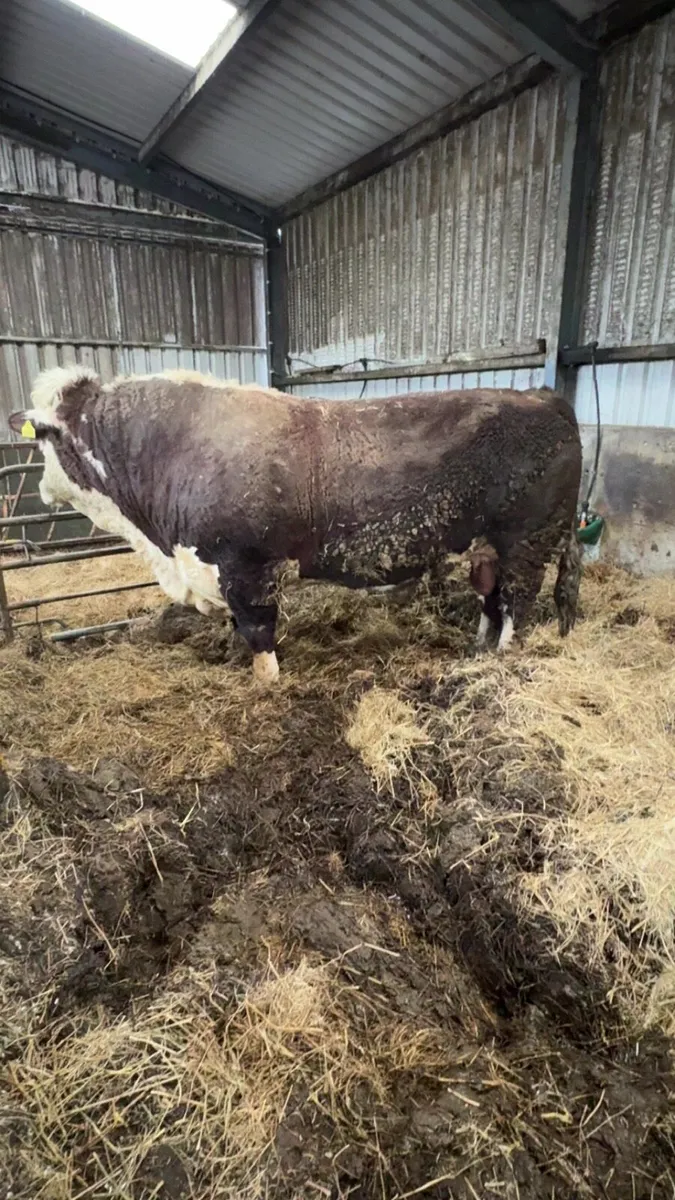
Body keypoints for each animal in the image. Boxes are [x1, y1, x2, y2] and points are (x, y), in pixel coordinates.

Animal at [9, 366, 582, 683]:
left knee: (517, 604)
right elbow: (236, 630)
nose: (41, 490)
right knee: (492, 600)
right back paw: (477, 652)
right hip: (490, 547)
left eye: (45, 440)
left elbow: (259, 632)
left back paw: (501, 659)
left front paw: (266, 682)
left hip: (527, 542)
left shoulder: (247, 566)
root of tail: (543, 396)